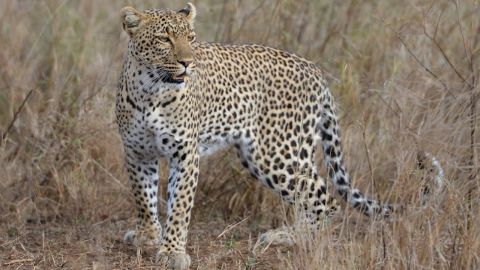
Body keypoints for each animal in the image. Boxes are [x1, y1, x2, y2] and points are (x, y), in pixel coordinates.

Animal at [115, 2, 394, 268]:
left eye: (191, 38)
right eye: (164, 39)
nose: (187, 63)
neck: (150, 91)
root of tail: (315, 70)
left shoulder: (184, 154)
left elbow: (180, 206)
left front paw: (173, 252)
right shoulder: (137, 152)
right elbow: (143, 196)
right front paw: (148, 236)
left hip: (276, 152)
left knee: (324, 199)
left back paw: (292, 237)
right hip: (258, 155)